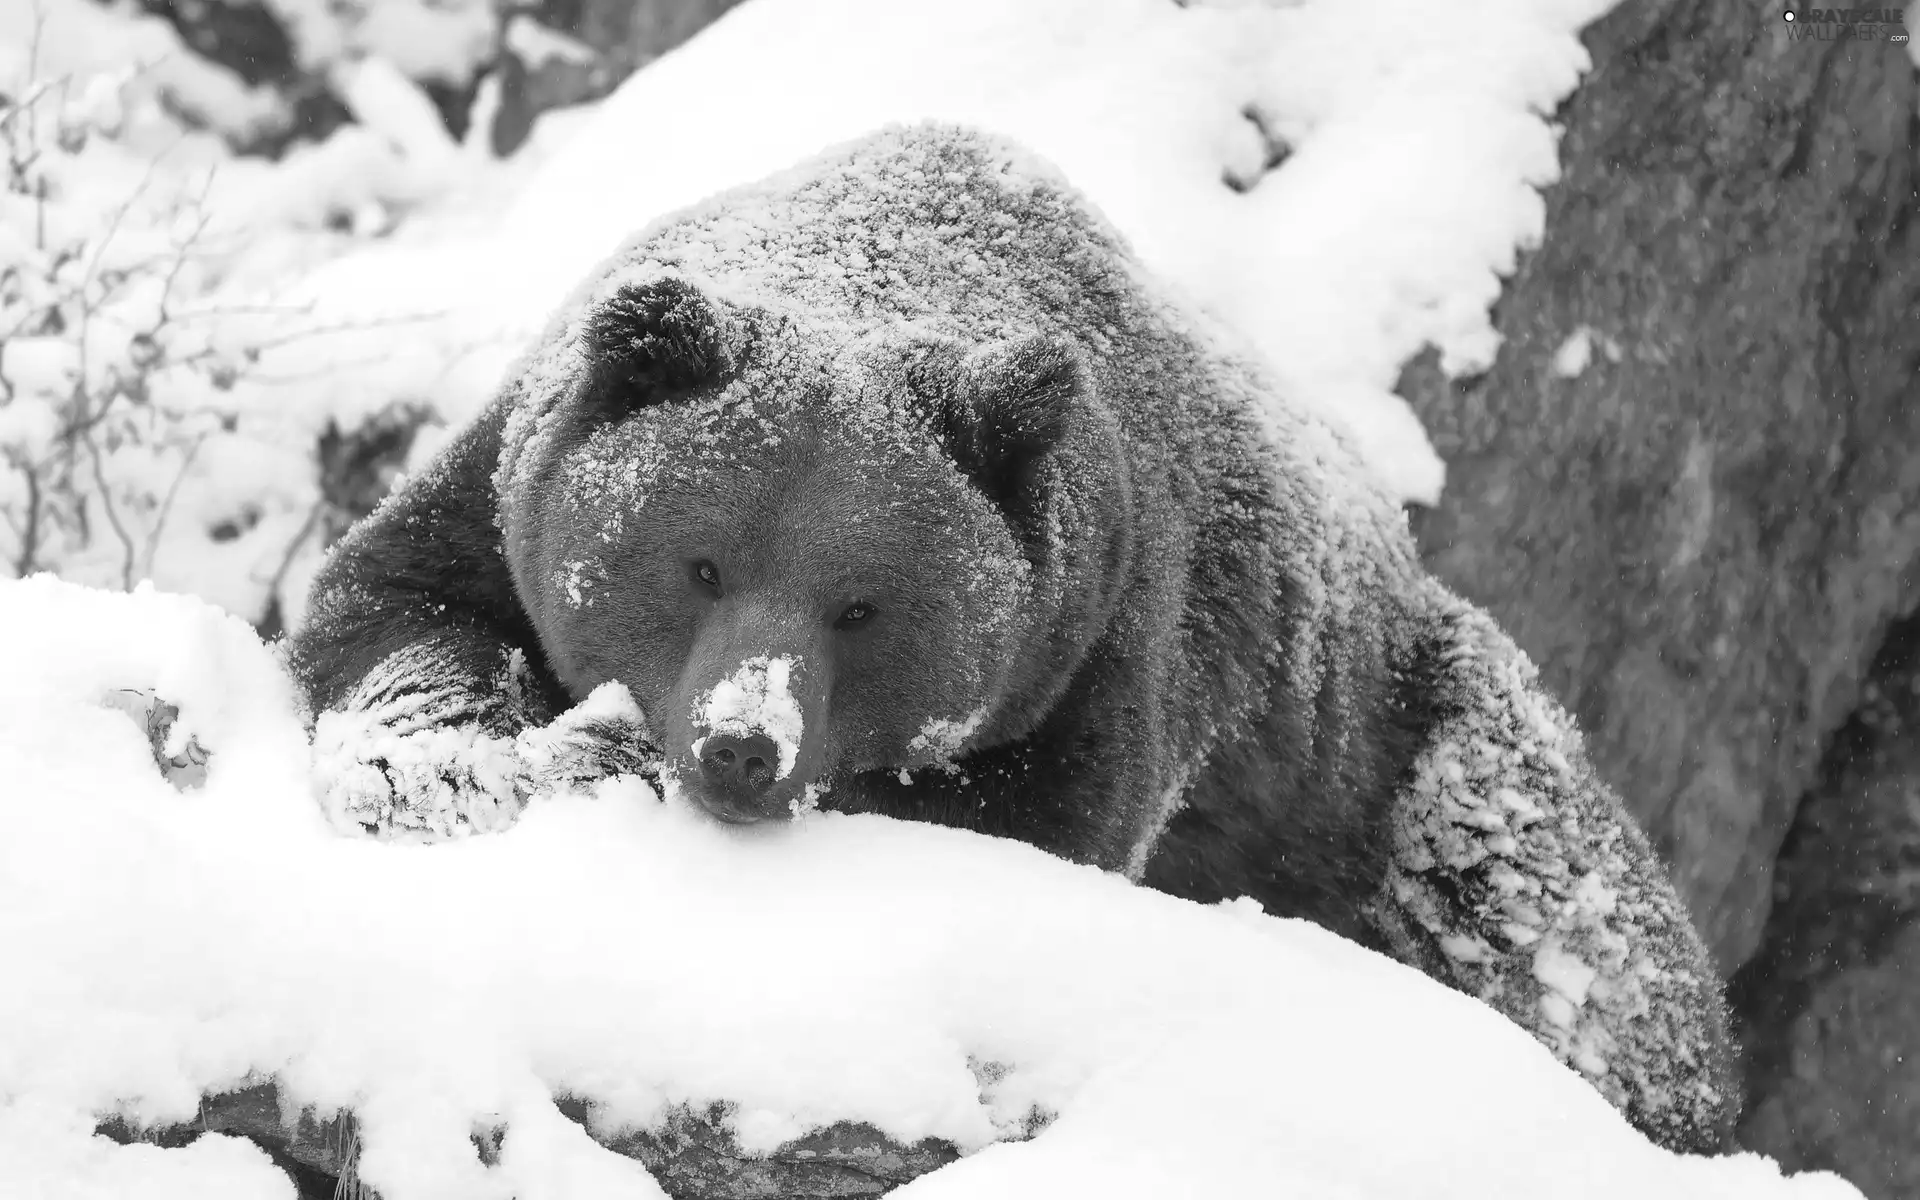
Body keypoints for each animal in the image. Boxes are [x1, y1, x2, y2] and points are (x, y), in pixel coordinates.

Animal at [288, 119, 1743, 1152]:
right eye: (698, 561)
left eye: (862, 604)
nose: (743, 745)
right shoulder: (496, 493)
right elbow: (393, 614)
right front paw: (445, 764)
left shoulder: (1109, 647)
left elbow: (1023, 821)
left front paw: (597, 758)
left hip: (1395, 756)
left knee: (1563, 929)